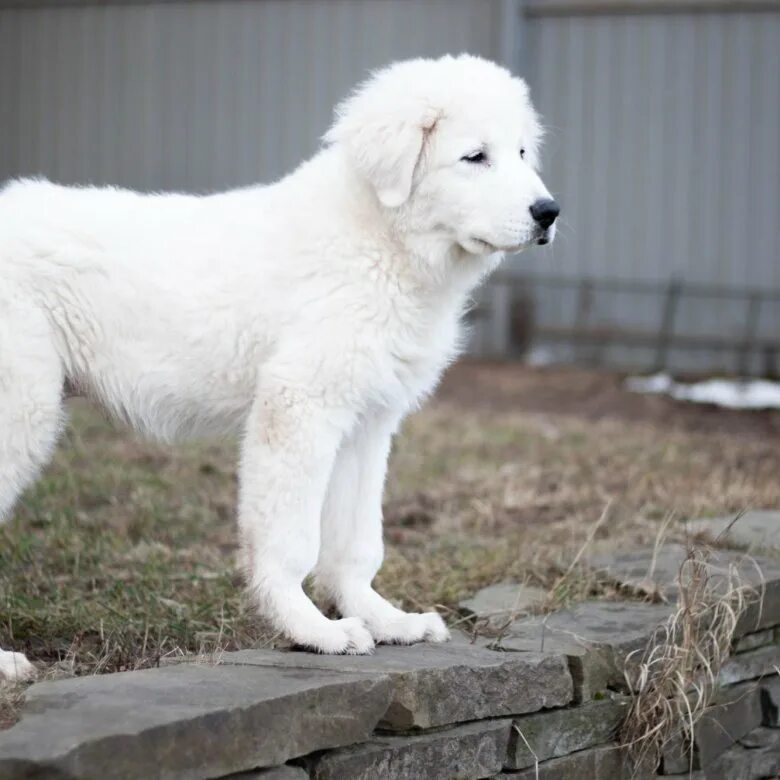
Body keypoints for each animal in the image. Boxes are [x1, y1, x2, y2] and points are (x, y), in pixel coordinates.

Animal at [1, 54, 560, 680]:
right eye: (475, 157)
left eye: (521, 153)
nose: (549, 212)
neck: (380, 239)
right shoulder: (299, 406)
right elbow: (291, 539)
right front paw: (314, 632)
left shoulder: (366, 424)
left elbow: (355, 542)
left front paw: (385, 621)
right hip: (20, 408)